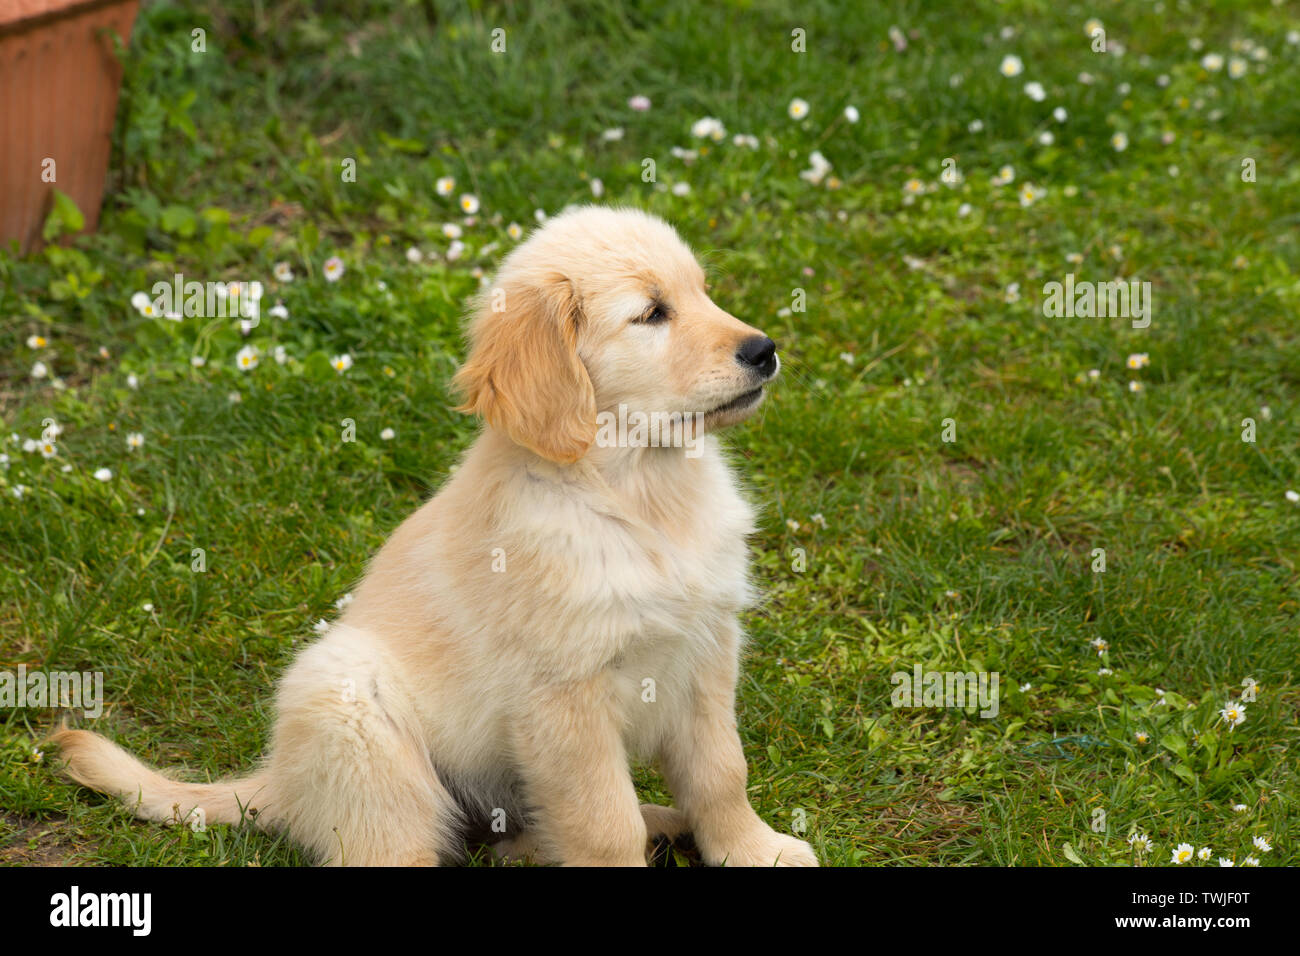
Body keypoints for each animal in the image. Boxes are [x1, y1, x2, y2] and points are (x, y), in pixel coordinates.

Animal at [58, 208, 821, 868]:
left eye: (702, 292)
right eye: (652, 313)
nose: (765, 350)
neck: (639, 491)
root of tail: (279, 779)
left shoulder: (706, 652)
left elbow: (721, 772)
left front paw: (754, 850)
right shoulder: (563, 696)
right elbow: (603, 823)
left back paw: (661, 822)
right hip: (352, 710)